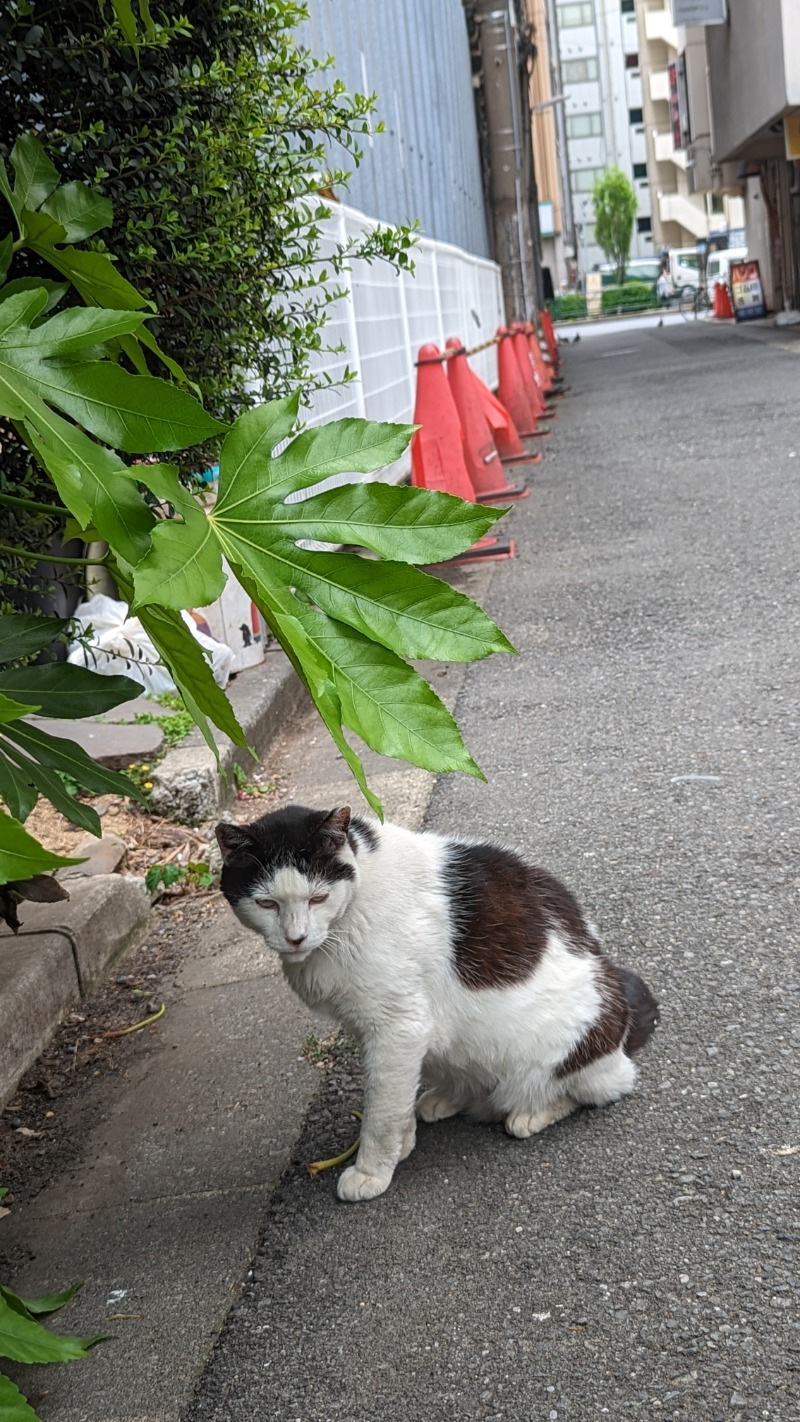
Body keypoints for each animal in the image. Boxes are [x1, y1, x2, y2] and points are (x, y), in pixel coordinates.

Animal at [215, 807, 659, 1194]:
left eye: (317, 898)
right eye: (267, 903)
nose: (296, 938)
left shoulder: (399, 1027)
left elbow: (380, 1109)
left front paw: (372, 1170)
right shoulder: (377, 1029)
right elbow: (389, 1094)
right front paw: (403, 1141)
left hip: (567, 1046)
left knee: (598, 1086)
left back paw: (531, 1112)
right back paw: (448, 1097)